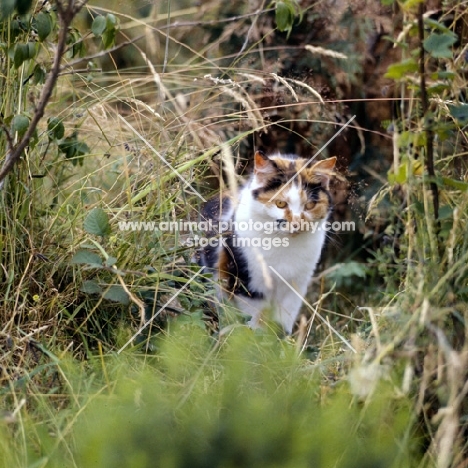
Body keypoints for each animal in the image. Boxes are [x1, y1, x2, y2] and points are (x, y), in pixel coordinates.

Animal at [197, 150, 336, 332]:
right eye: (280, 203)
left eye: (310, 205)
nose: (297, 223)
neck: (284, 245)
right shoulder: (246, 281)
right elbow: (255, 316)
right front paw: (254, 335)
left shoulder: (296, 286)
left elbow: (285, 318)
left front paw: (281, 338)